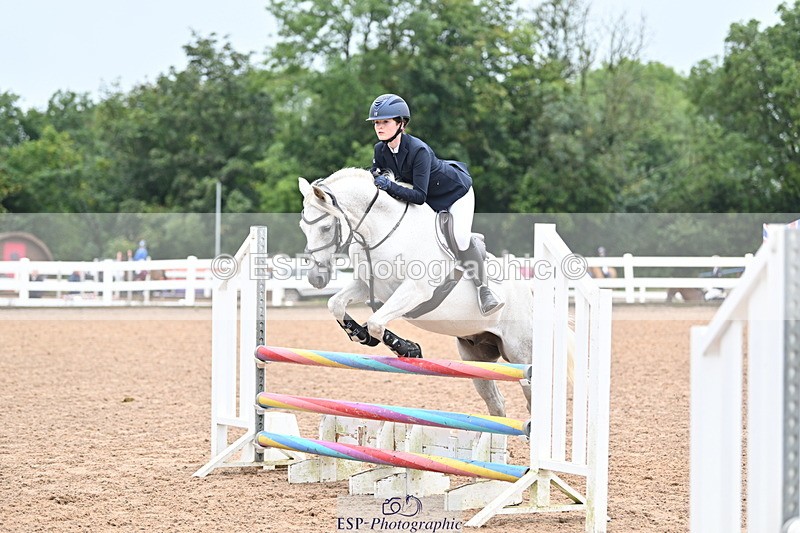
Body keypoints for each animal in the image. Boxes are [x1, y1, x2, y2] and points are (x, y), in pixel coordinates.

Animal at [298, 168, 573, 417]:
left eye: (325, 228)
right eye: (302, 226)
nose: (316, 278)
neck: (383, 232)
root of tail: (530, 290)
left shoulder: (415, 290)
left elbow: (376, 322)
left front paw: (406, 348)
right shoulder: (367, 285)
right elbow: (336, 304)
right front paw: (361, 334)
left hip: (521, 352)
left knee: (530, 397)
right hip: (477, 356)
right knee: (496, 402)